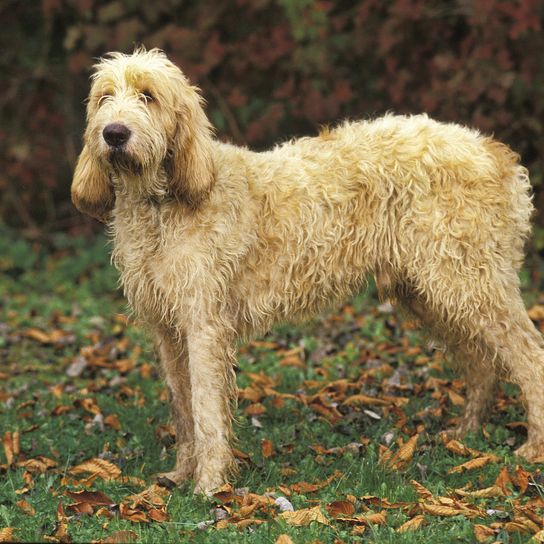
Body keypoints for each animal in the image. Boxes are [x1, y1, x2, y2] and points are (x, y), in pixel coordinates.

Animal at [72, 49, 544, 496]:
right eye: (104, 98)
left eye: (148, 96)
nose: (114, 134)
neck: (162, 202)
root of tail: (494, 151)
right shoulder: (169, 330)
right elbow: (183, 408)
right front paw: (181, 473)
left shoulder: (204, 325)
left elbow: (206, 410)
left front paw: (209, 485)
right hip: (433, 292)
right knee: (481, 362)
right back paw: (466, 435)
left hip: (469, 283)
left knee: (529, 355)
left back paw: (533, 447)